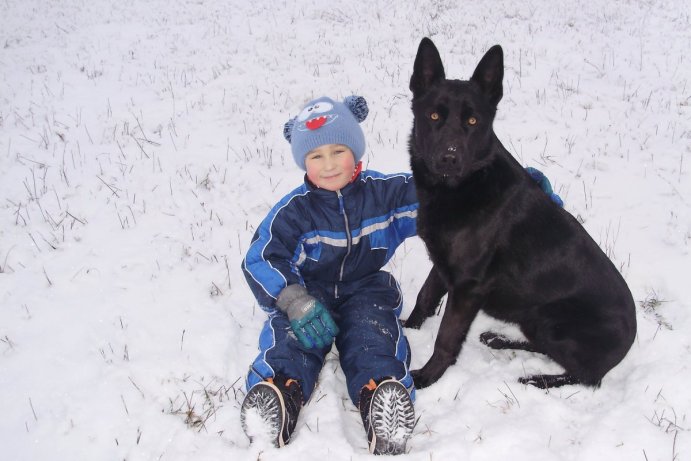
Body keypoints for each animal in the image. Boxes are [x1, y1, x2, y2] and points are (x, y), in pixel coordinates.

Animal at [406, 37, 636, 388]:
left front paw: (426, 377)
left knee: (583, 377)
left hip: (552, 321)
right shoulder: (445, 267)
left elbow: (446, 338)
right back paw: (500, 340)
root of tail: (629, 341)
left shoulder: (467, 287)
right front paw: (405, 330)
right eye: (433, 115)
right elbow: (425, 297)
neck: (464, 187)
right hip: (535, 320)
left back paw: (536, 380)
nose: (449, 158)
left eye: (473, 122)